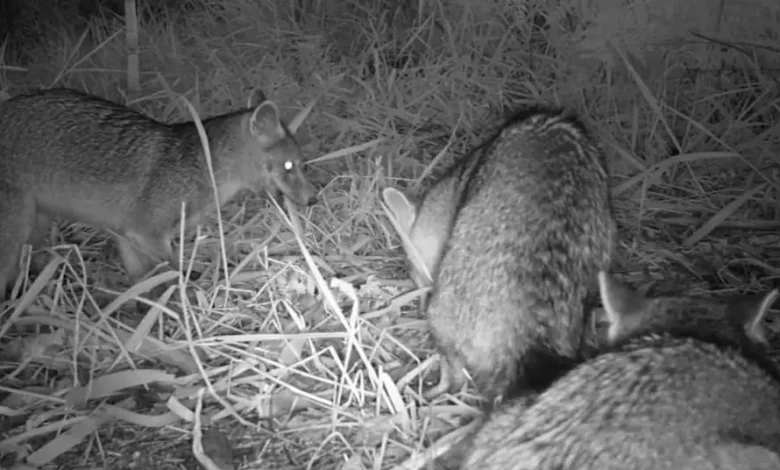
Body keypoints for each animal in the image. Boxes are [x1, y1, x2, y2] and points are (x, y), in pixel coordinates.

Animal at [0, 87, 317, 301]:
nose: (313, 199)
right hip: (17, 234)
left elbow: (144, 288)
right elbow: (175, 275)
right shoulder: (148, 233)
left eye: (303, 165)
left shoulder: (128, 236)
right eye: (289, 166)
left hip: (35, 229)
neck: (202, 164)